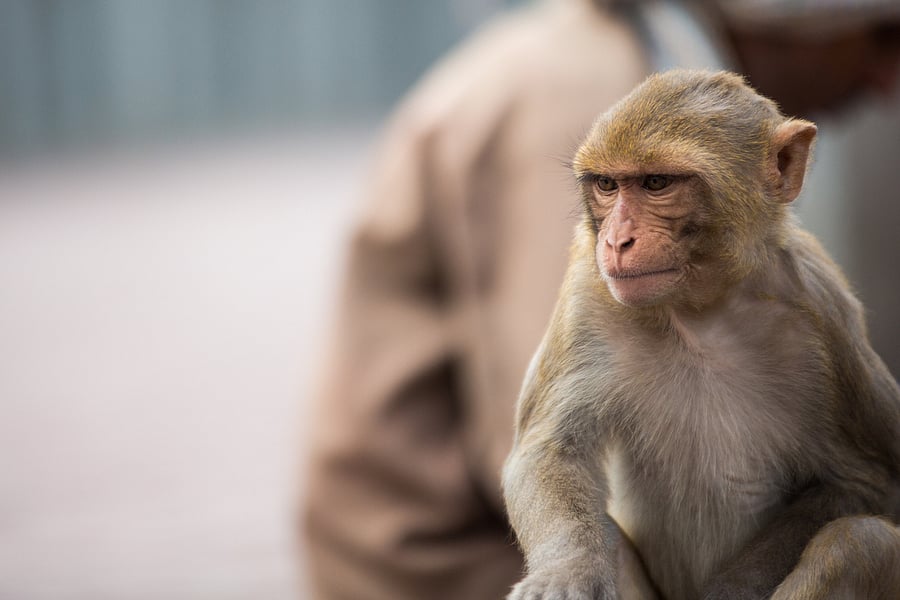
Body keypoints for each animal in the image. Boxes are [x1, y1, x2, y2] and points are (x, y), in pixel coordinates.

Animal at [501, 70, 900, 600]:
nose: (616, 241)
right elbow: (549, 452)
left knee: (862, 541)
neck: (698, 311)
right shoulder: (587, 293)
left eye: (656, 183)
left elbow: (863, 481)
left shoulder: (826, 315)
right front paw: (566, 573)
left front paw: (728, 590)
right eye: (607, 184)